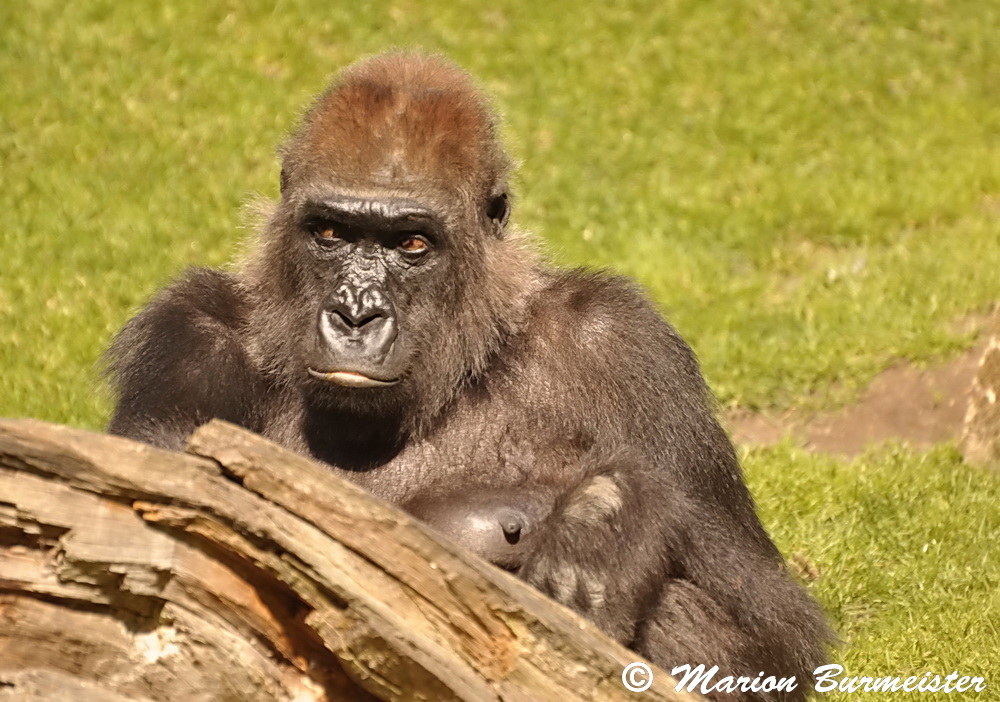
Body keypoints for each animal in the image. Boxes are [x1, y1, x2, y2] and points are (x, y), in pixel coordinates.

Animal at [105, 52, 832, 700]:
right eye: (330, 233)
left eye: (412, 244)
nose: (356, 315)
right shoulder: (189, 335)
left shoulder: (623, 342)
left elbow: (767, 619)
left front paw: (607, 519)